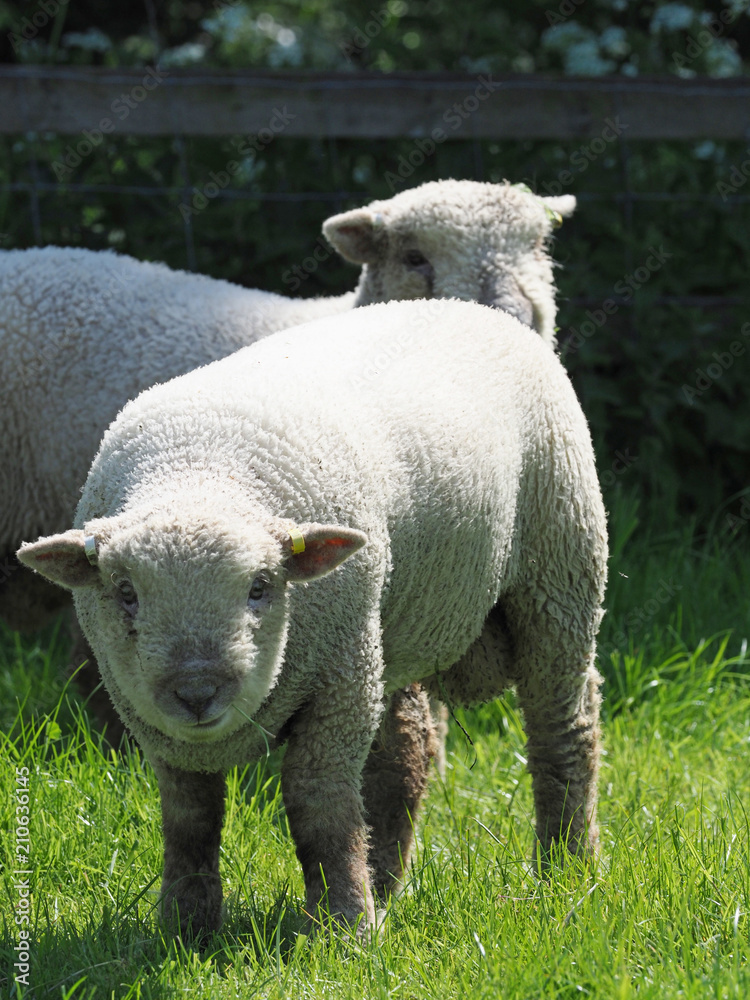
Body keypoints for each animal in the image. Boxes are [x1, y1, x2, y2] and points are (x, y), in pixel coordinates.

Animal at [20, 300, 608, 940]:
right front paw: (185, 926)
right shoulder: (155, 722)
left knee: (563, 731)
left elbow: (318, 801)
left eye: (260, 587)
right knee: (405, 755)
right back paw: (387, 883)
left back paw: (565, 871)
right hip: (388, 625)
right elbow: (189, 816)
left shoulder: (336, 680)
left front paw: (343, 928)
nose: (198, 692)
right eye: (125, 594)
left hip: (558, 572)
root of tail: (466, 306)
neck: (201, 472)